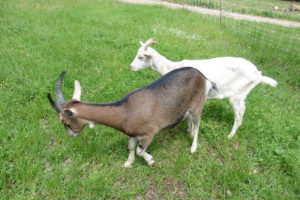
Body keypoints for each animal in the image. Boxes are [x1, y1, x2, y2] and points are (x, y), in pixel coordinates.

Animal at [48, 68, 207, 168]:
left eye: (65, 122)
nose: (70, 135)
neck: (126, 111)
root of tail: (200, 73)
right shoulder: (132, 133)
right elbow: (131, 147)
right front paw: (128, 163)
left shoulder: (149, 133)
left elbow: (139, 150)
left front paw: (151, 161)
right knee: (189, 118)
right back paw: (189, 132)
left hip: (198, 104)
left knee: (198, 122)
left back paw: (193, 147)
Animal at [129, 38, 276, 138]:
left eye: (141, 57)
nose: (131, 67)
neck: (173, 67)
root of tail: (258, 75)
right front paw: (189, 130)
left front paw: (191, 134)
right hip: (241, 94)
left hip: (236, 95)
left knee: (239, 114)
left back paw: (230, 136)